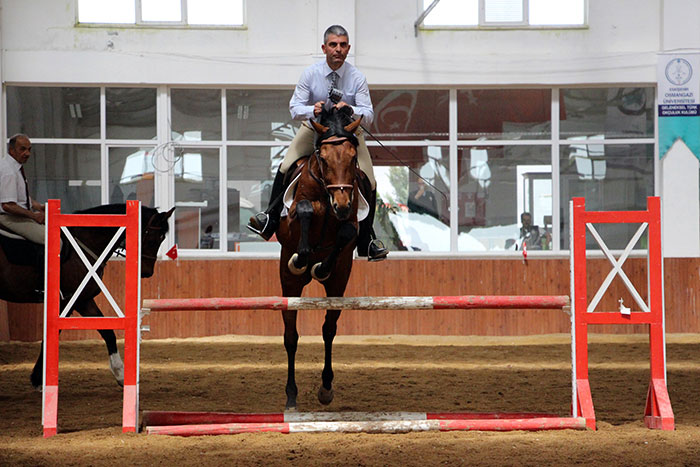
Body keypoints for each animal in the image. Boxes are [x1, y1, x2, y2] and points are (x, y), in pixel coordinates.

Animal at [0, 203, 174, 390]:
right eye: (152, 239)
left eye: (161, 239)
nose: (147, 272)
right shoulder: (68, 300)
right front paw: (39, 379)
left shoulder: (83, 300)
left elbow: (108, 333)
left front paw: (120, 374)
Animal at [276, 107, 370, 414]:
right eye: (323, 158)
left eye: (353, 157)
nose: (340, 204)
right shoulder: (293, 219)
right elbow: (305, 209)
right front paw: (302, 257)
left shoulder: (350, 222)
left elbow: (346, 232)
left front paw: (320, 266)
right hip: (289, 285)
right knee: (291, 336)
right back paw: (291, 396)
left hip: (339, 285)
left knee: (329, 329)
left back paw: (326, 388)